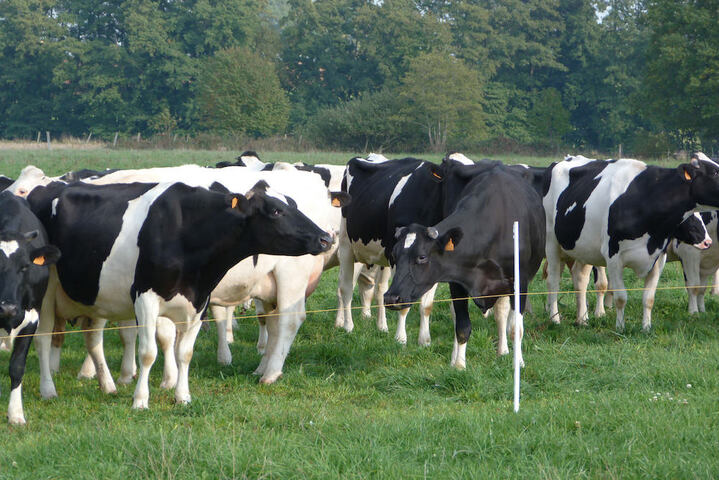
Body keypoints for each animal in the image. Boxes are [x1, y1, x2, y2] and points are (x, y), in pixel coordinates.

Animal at [0, 191, 60, 424]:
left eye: (25, 266)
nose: (7, 308)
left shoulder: (31, 318)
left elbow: (17, 367)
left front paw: (16, 413)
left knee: (43, 343)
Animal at [13, 164, 348, 388]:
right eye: (276, 210)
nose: (324, 238)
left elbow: (141, 334)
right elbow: (145, 334)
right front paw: (141, 376)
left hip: (290, 275)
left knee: (290, 320)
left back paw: (270, 374)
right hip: (273, 284)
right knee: (276, 323)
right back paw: (262, 368)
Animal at [384, 159, 546, 369]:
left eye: (422, 257)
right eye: (394, 255)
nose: (391, 297)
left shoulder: (520, 281)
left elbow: (515, 328)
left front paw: (517, 363)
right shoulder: (457, 282)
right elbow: (461, 325)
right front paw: (459, 365)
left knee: (502, 315)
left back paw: (503, 351)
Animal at [544, 152, 719, 332]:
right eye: (714, 172)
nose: (707, 242)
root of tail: (567, 158)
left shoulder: (658, 258)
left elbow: (649, 298)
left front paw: (646, 328)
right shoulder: (613, 257)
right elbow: (621, 297)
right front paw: (620, 328)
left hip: (583, 249)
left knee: (580, 278)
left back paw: (582, 319)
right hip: (551, 242)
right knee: (553, 281)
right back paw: (554, 319)